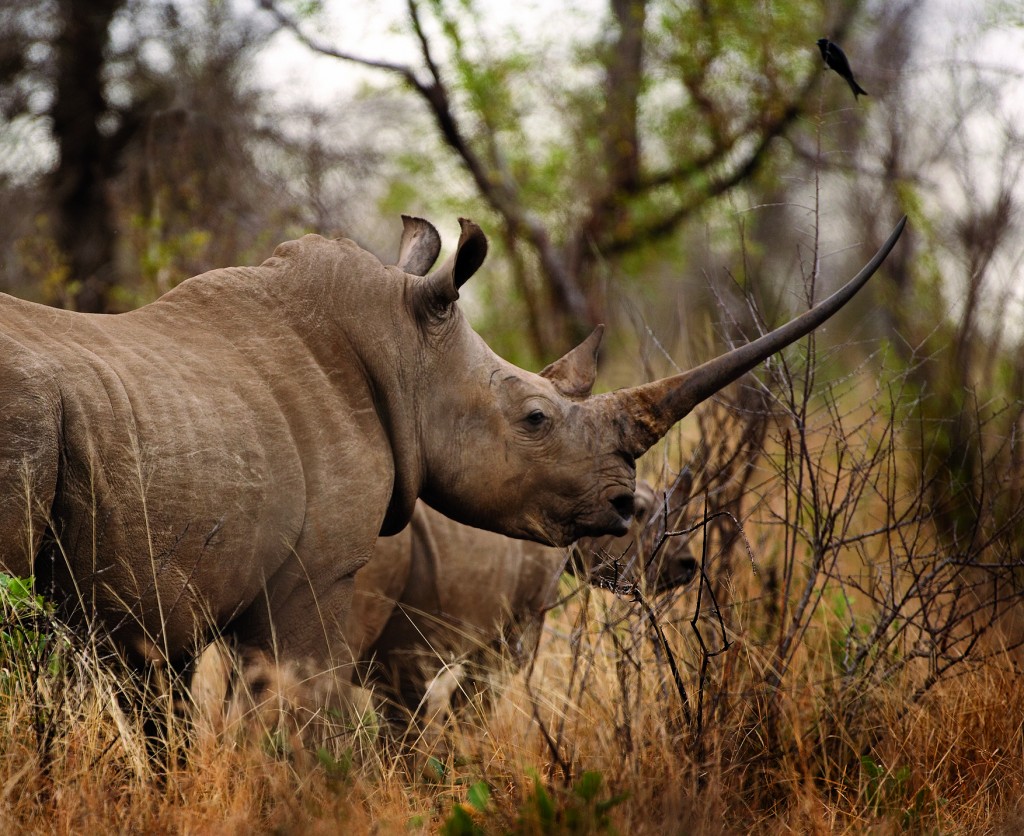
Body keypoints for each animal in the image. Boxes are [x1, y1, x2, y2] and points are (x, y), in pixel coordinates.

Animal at [0, 212, 905, 700]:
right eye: (536, 418)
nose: (622, 507)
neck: (404, 349)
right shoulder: (315, 581)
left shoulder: (160, 594)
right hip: (22, 418)